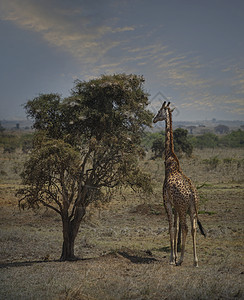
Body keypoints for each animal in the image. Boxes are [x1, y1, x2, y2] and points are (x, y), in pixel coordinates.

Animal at [153, 101, 205, 268]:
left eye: (159, 111)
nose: (153, 119)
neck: (170, 163)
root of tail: (192, 193)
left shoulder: (168, 202)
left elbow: (171, 227)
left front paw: (172, 258)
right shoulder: (176, 206)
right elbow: (175, 228)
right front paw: (174, 256)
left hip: (183, 208)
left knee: (186, 227)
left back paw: (182, 260)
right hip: (193, 208)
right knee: (194, 228)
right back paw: (195, 261)